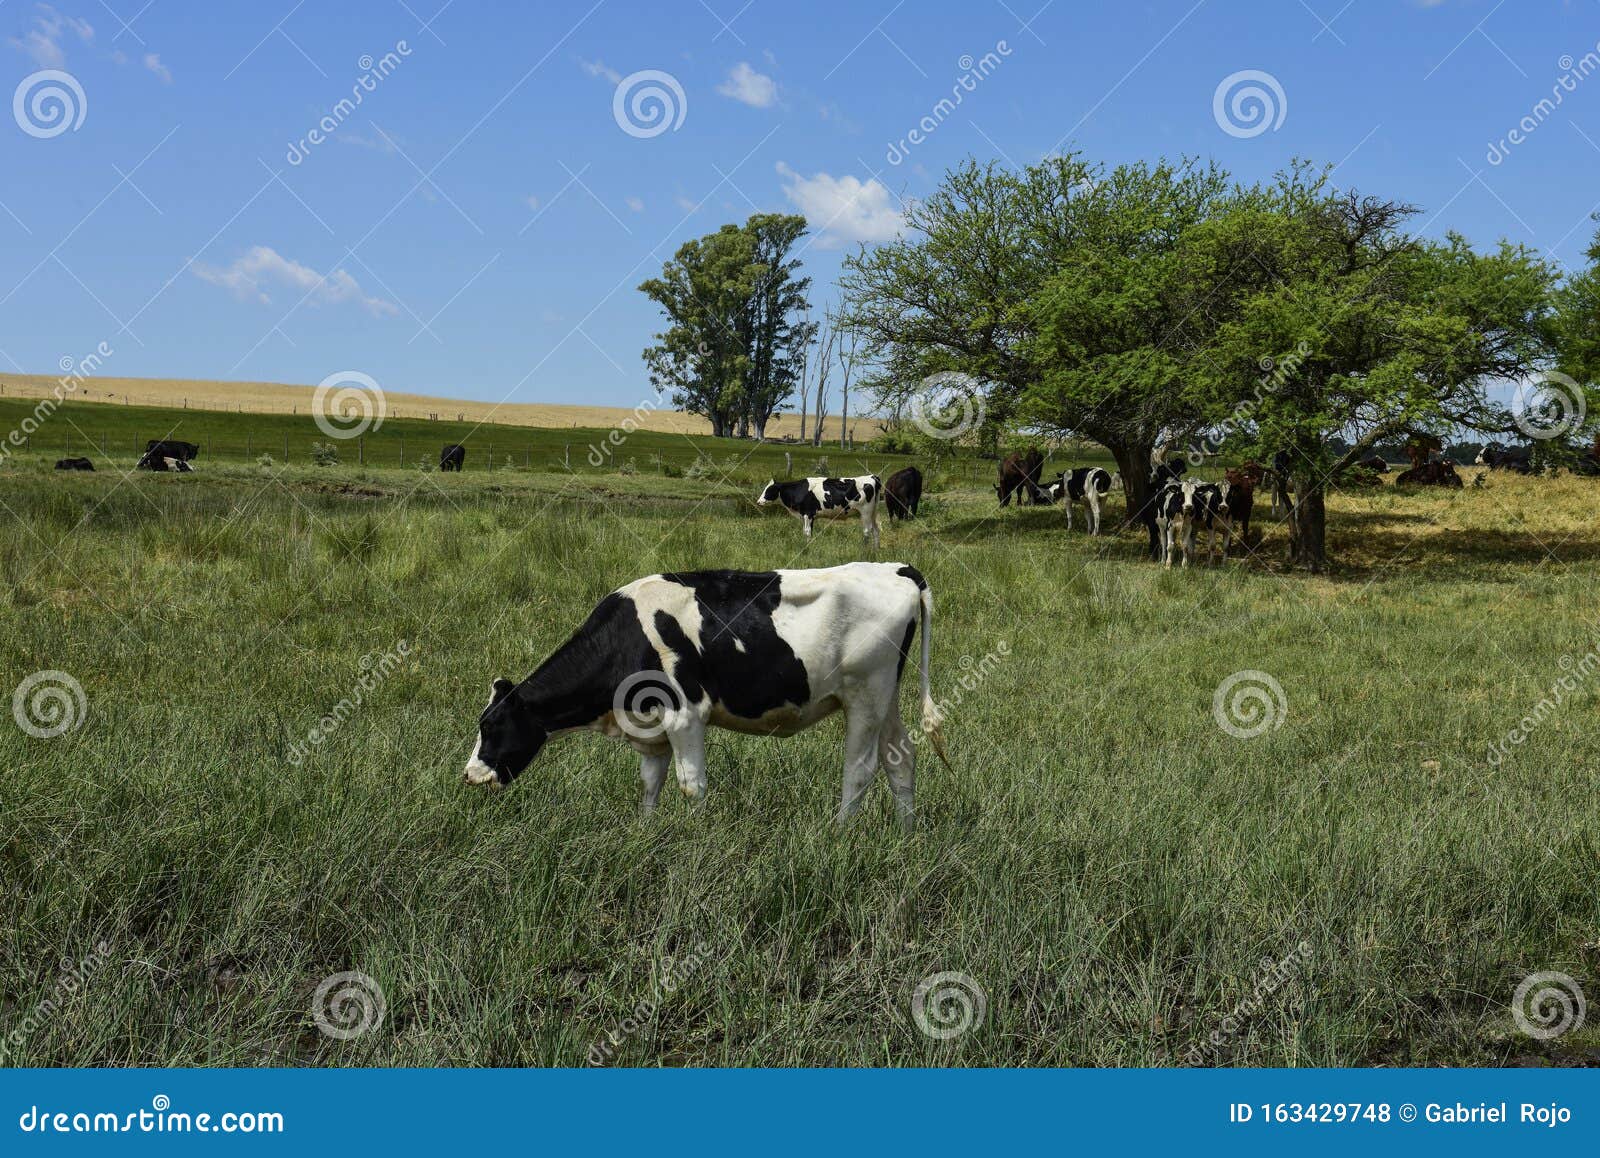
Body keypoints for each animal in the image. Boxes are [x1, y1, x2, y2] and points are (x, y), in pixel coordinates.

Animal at [460, 563, 947, 825]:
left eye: (491, 725)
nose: (469, 775)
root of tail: (896, 568)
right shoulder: (650, 726)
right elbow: (649, 783)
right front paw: (645, 832)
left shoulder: (684, 714)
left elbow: (691, 786)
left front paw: (695, 839)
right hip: (886, 695)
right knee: (900, 757)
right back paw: (906, 834)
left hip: (866, 693)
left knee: (860, 770)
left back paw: (839, 833)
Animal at [755, 473, 883, 550]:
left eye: (769, 490)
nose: (758, 502)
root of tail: (872, 476)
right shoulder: (807, 515)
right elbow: (807, 531)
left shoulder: (808, 514)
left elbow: (807, 532)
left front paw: (807, 547)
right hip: (873, 512)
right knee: (876, 530)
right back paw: (875, 550)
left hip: (865, 512)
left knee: (867, 530)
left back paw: (864, 549)